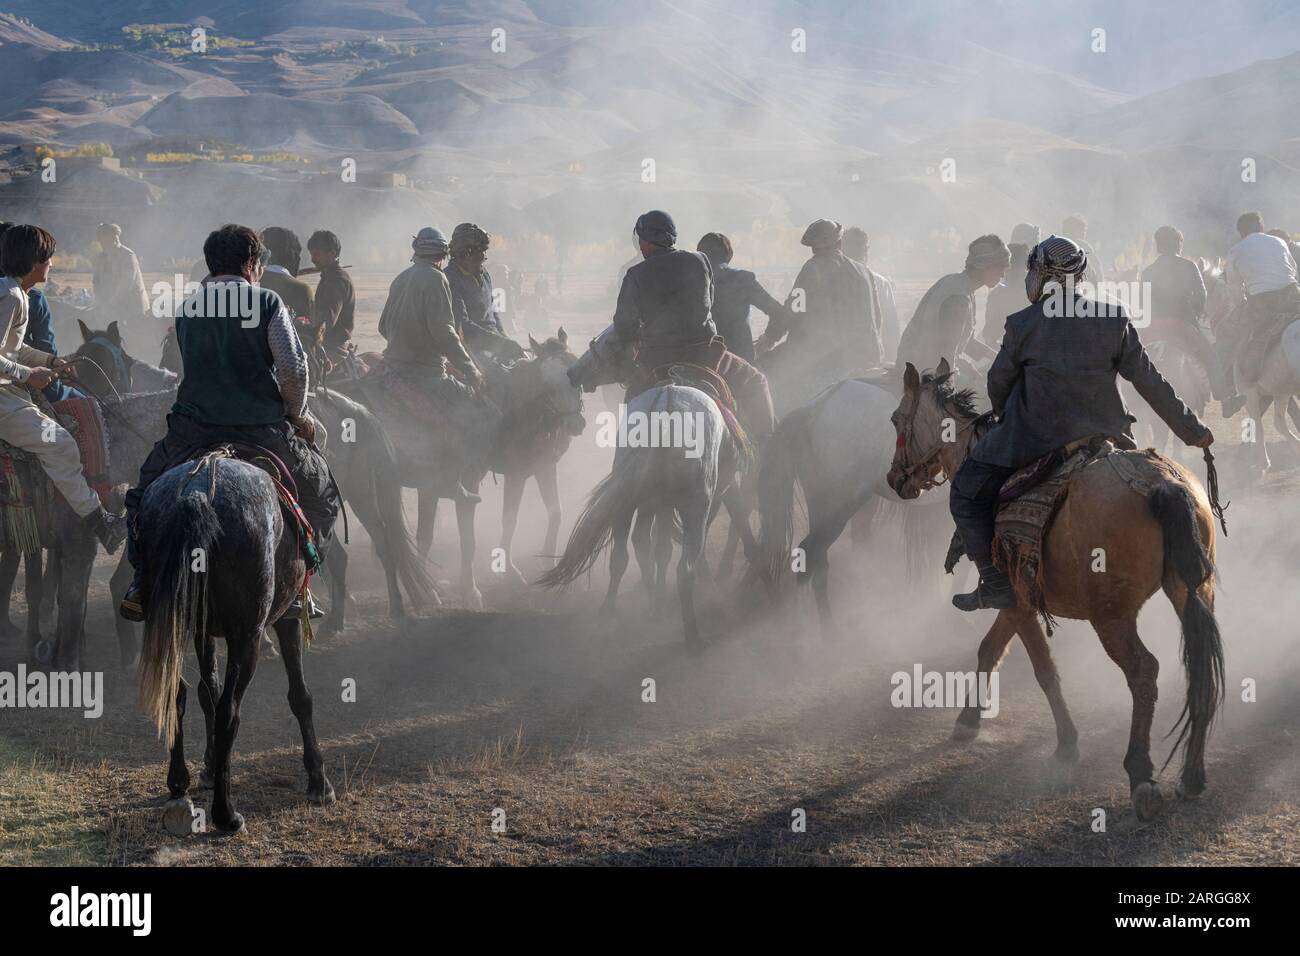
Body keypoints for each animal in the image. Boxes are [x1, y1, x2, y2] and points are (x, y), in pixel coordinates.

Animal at [133, 452, 330, 832]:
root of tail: (197, 494)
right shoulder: (286, 616)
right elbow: (301, 696)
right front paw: (318, 780)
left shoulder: (202, 630)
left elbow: (206, 689)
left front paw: (209, 768)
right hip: (247, 635)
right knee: (230, 712)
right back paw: (227, 814)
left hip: (173, 620)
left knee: (178, 694)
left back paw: (178, 782)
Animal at [889, 361, 1222, 822]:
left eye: (896, 420)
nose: (894, 478)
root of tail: (1159, 484)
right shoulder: (1014, 599)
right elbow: (990, 650)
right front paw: (969, 720)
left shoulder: (1018, 601)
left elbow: (1041, 669)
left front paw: (1066, 742)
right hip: (1193, 591)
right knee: (1201, 669)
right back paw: (1192, 777)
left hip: (1111, 616)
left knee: (1144, 672)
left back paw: (1141, 774)